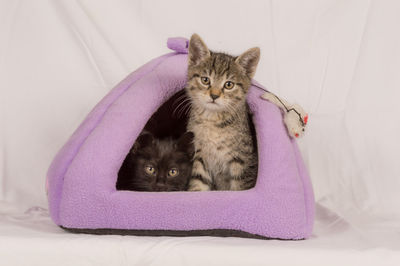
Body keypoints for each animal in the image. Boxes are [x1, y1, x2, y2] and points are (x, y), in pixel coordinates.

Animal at [185, 33, 260, 191]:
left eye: (229, 84)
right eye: (205, 80)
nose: (214, 95)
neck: (213, 120)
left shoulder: (243, 161)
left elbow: (240, 187)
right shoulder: (200, 155)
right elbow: (198, 183)